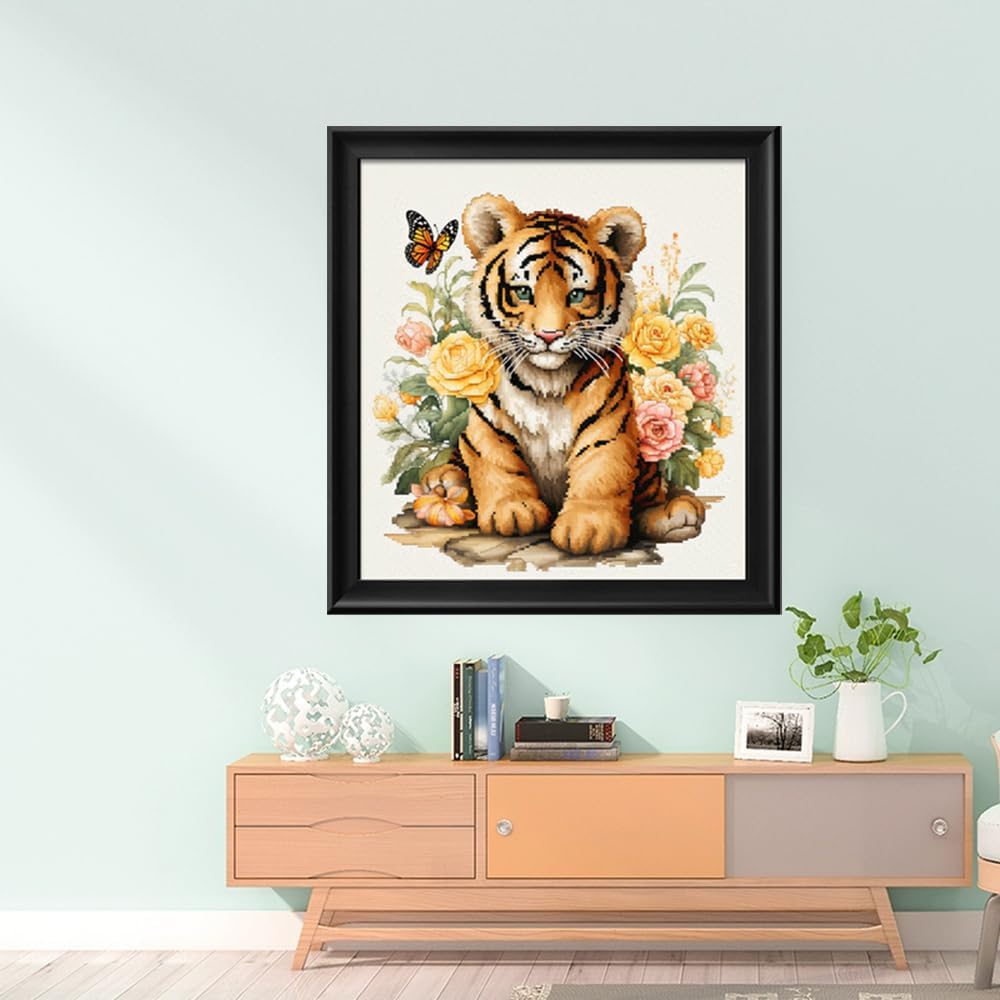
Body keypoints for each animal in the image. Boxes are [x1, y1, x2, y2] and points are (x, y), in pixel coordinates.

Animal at [456, 193, 706, 556]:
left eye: (576, 295)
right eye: (523, 292)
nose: (548, 335)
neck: (546, 382)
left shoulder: (610, 425)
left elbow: (599, 469)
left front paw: (589, 528)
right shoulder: (486, 424)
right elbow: (497, 461)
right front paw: (513, 510)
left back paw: (676, 513)